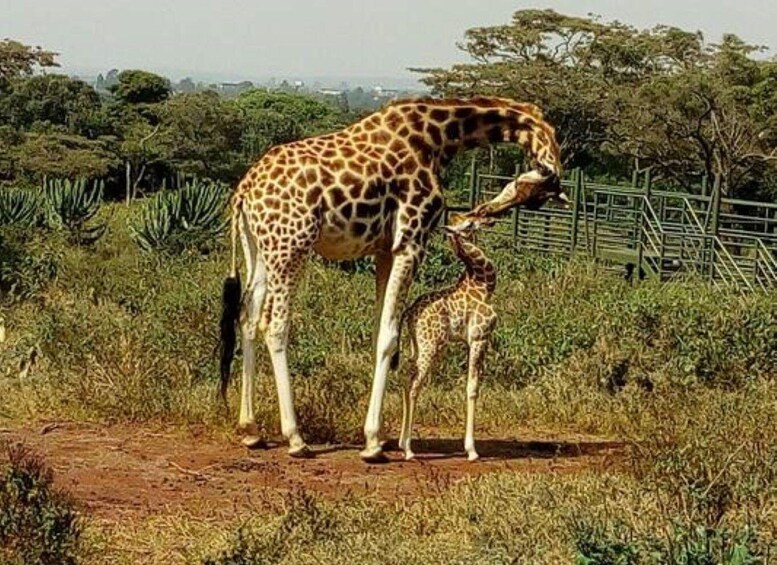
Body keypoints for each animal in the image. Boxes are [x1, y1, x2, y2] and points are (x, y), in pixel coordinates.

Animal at [398, 211, 498, 462]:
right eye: (470, 223)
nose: (490, 220)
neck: (484, 285)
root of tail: (409, 312)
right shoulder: (479, 338)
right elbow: (472, 387)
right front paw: (472, 450)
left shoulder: (470, 341)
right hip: (430, 346)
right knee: (415, 385)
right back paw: (409, 450)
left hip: (417, 346)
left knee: (406, 377)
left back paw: (402, 443)